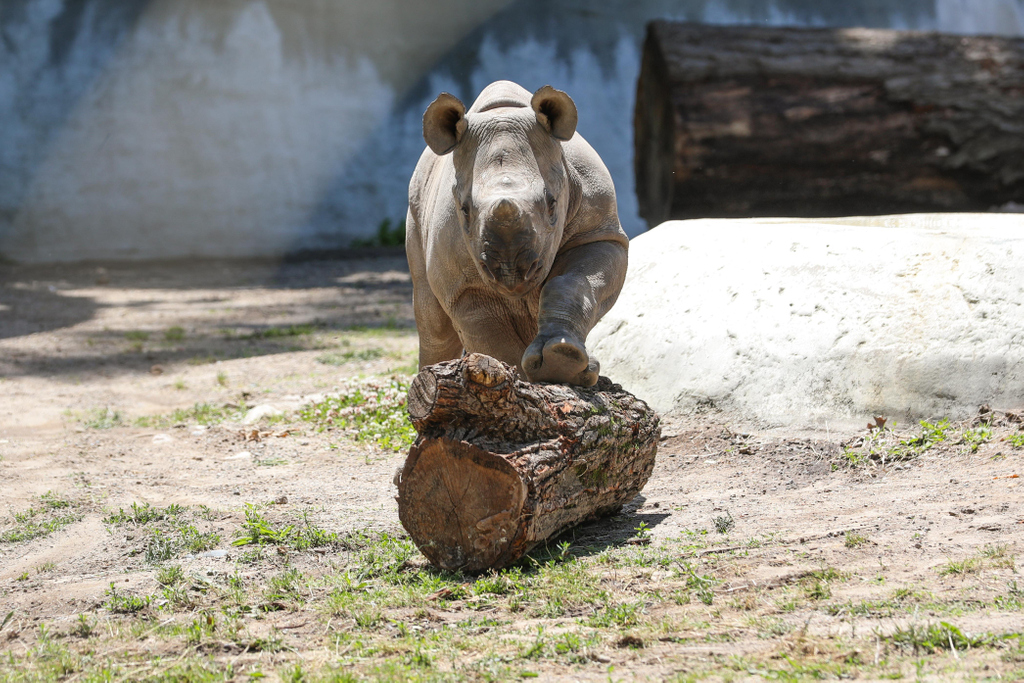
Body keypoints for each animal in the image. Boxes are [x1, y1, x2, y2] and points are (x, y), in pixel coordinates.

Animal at [406, 80, 628, 386]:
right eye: (464, 210)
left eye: (552, 203)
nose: (511, 273)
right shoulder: (464, 287)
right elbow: (492, 338)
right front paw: (523, 380)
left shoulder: (599, 233)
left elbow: (574, 282)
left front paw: (562, 359)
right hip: (415, 205)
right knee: (433, 324)